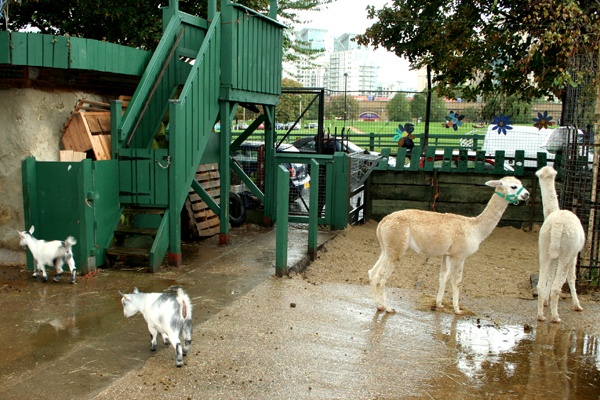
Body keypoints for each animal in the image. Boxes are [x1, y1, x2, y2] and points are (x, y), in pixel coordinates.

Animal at [366, 177, 528, 314]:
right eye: (513, 186)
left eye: (521, 183)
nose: (526, 194)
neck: (475, 228)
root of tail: (383, 221)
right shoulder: (459, 255)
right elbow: (457, 281)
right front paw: (458, 310)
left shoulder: (447, 254)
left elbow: (443, 277)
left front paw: (439, 304)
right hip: (396, 247)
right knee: (381, 278)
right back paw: (388, 308)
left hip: (387, 248)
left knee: (373, 273)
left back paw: (379, 306)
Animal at [536, 166, 584, 322]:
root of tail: (557, 225)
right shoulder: (574, 255)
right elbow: (572, 278)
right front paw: (577, 305)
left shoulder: (553, 256)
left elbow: (550, 276)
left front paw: (546, 302)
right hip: (566, 252)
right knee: (558, 286)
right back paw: (556, 317)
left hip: (544, 249)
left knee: (540, 284)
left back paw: (541, 315)